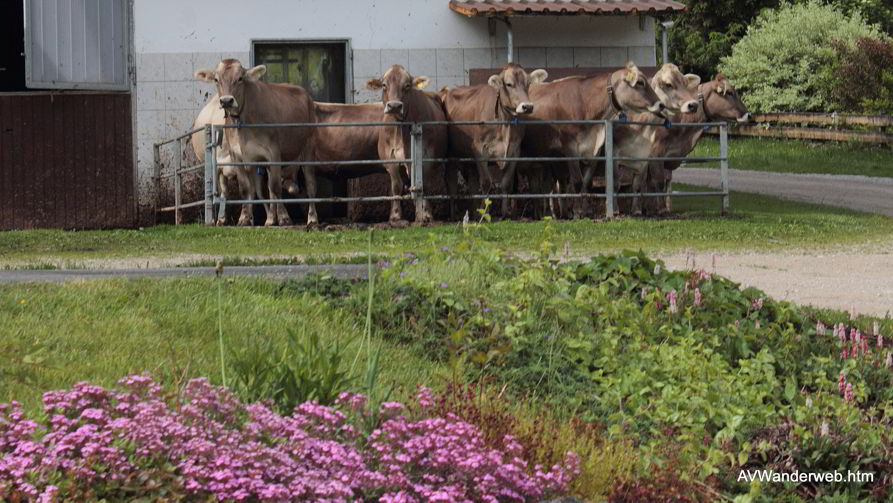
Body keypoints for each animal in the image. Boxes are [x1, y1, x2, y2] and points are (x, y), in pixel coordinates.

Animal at [197, 57, 316, 228]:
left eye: (240, 78)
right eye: (216, 79)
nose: (226, 101)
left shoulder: (274, 153)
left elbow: (276, 188)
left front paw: (284, 218)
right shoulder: (238, 157)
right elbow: (246, 189)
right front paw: (244, 219)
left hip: (308, 148)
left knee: (310, 183)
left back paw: (312, 218)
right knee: (267, 190)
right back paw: (270, 219)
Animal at [364, 66, 446, 223]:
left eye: (407, 86)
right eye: (384, 85)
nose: (394, 106)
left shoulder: (426, 155)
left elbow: (423, 184)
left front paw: (425, 213)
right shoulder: (389, 158)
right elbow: (396, 186)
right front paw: (396, 216)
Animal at [442, 62, 548, 217]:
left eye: (528, 83)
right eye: (509, 84)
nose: (527, 106)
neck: (505, 124)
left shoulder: (514, 152)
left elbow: (506, 184)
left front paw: (504, 213)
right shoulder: (479, 150)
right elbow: (486, 183)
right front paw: (485, 213)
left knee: (472, 183)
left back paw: (473, 212)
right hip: (451, 155)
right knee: (451, 183)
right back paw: (454, 214)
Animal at [524, 60, 664, 217]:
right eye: (640, 82)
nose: (661, 104)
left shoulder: (593, 152)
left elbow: (585, 183)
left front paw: (581, 210)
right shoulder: (570, 149)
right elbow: (577, 182)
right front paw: (577, 211)